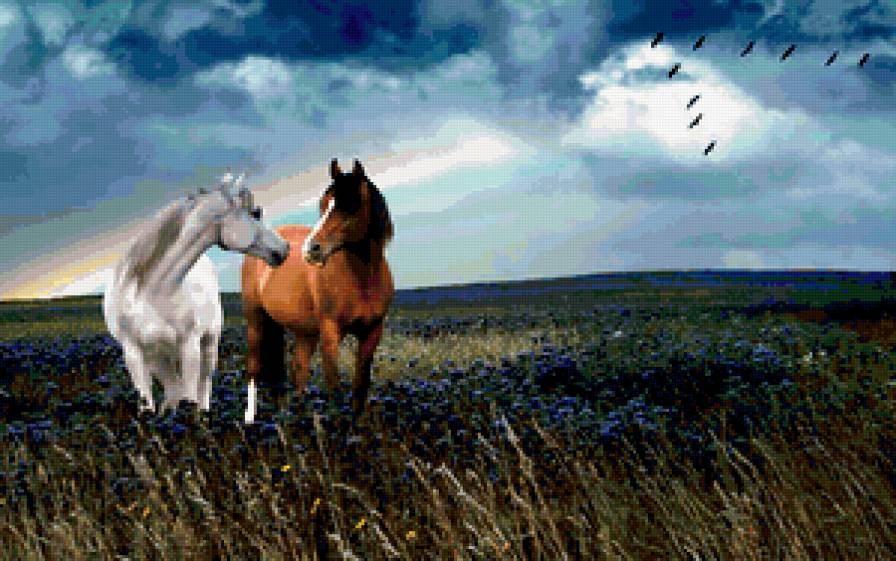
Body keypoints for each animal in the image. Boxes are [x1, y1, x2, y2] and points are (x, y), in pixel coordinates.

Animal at [103, 173, 290, 414]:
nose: (285, 249)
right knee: (173, 390)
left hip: (208, 345)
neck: (150, 292)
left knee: (202, 389)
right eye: (255, 213)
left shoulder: (190, 345)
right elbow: (149, 403)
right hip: (158, 358)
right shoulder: (133, 353)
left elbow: (191, 396)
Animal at [241, 158, 394, 423]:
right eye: (323, 205)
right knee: (254, 370)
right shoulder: (330, 333)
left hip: (306, 332)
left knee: (299, 370)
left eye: (351, 205)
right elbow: (334, 387)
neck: (362, 280)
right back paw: (252, 419)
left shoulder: (372, 332)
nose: (311, 250)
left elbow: (360, 387)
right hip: (256, 321)